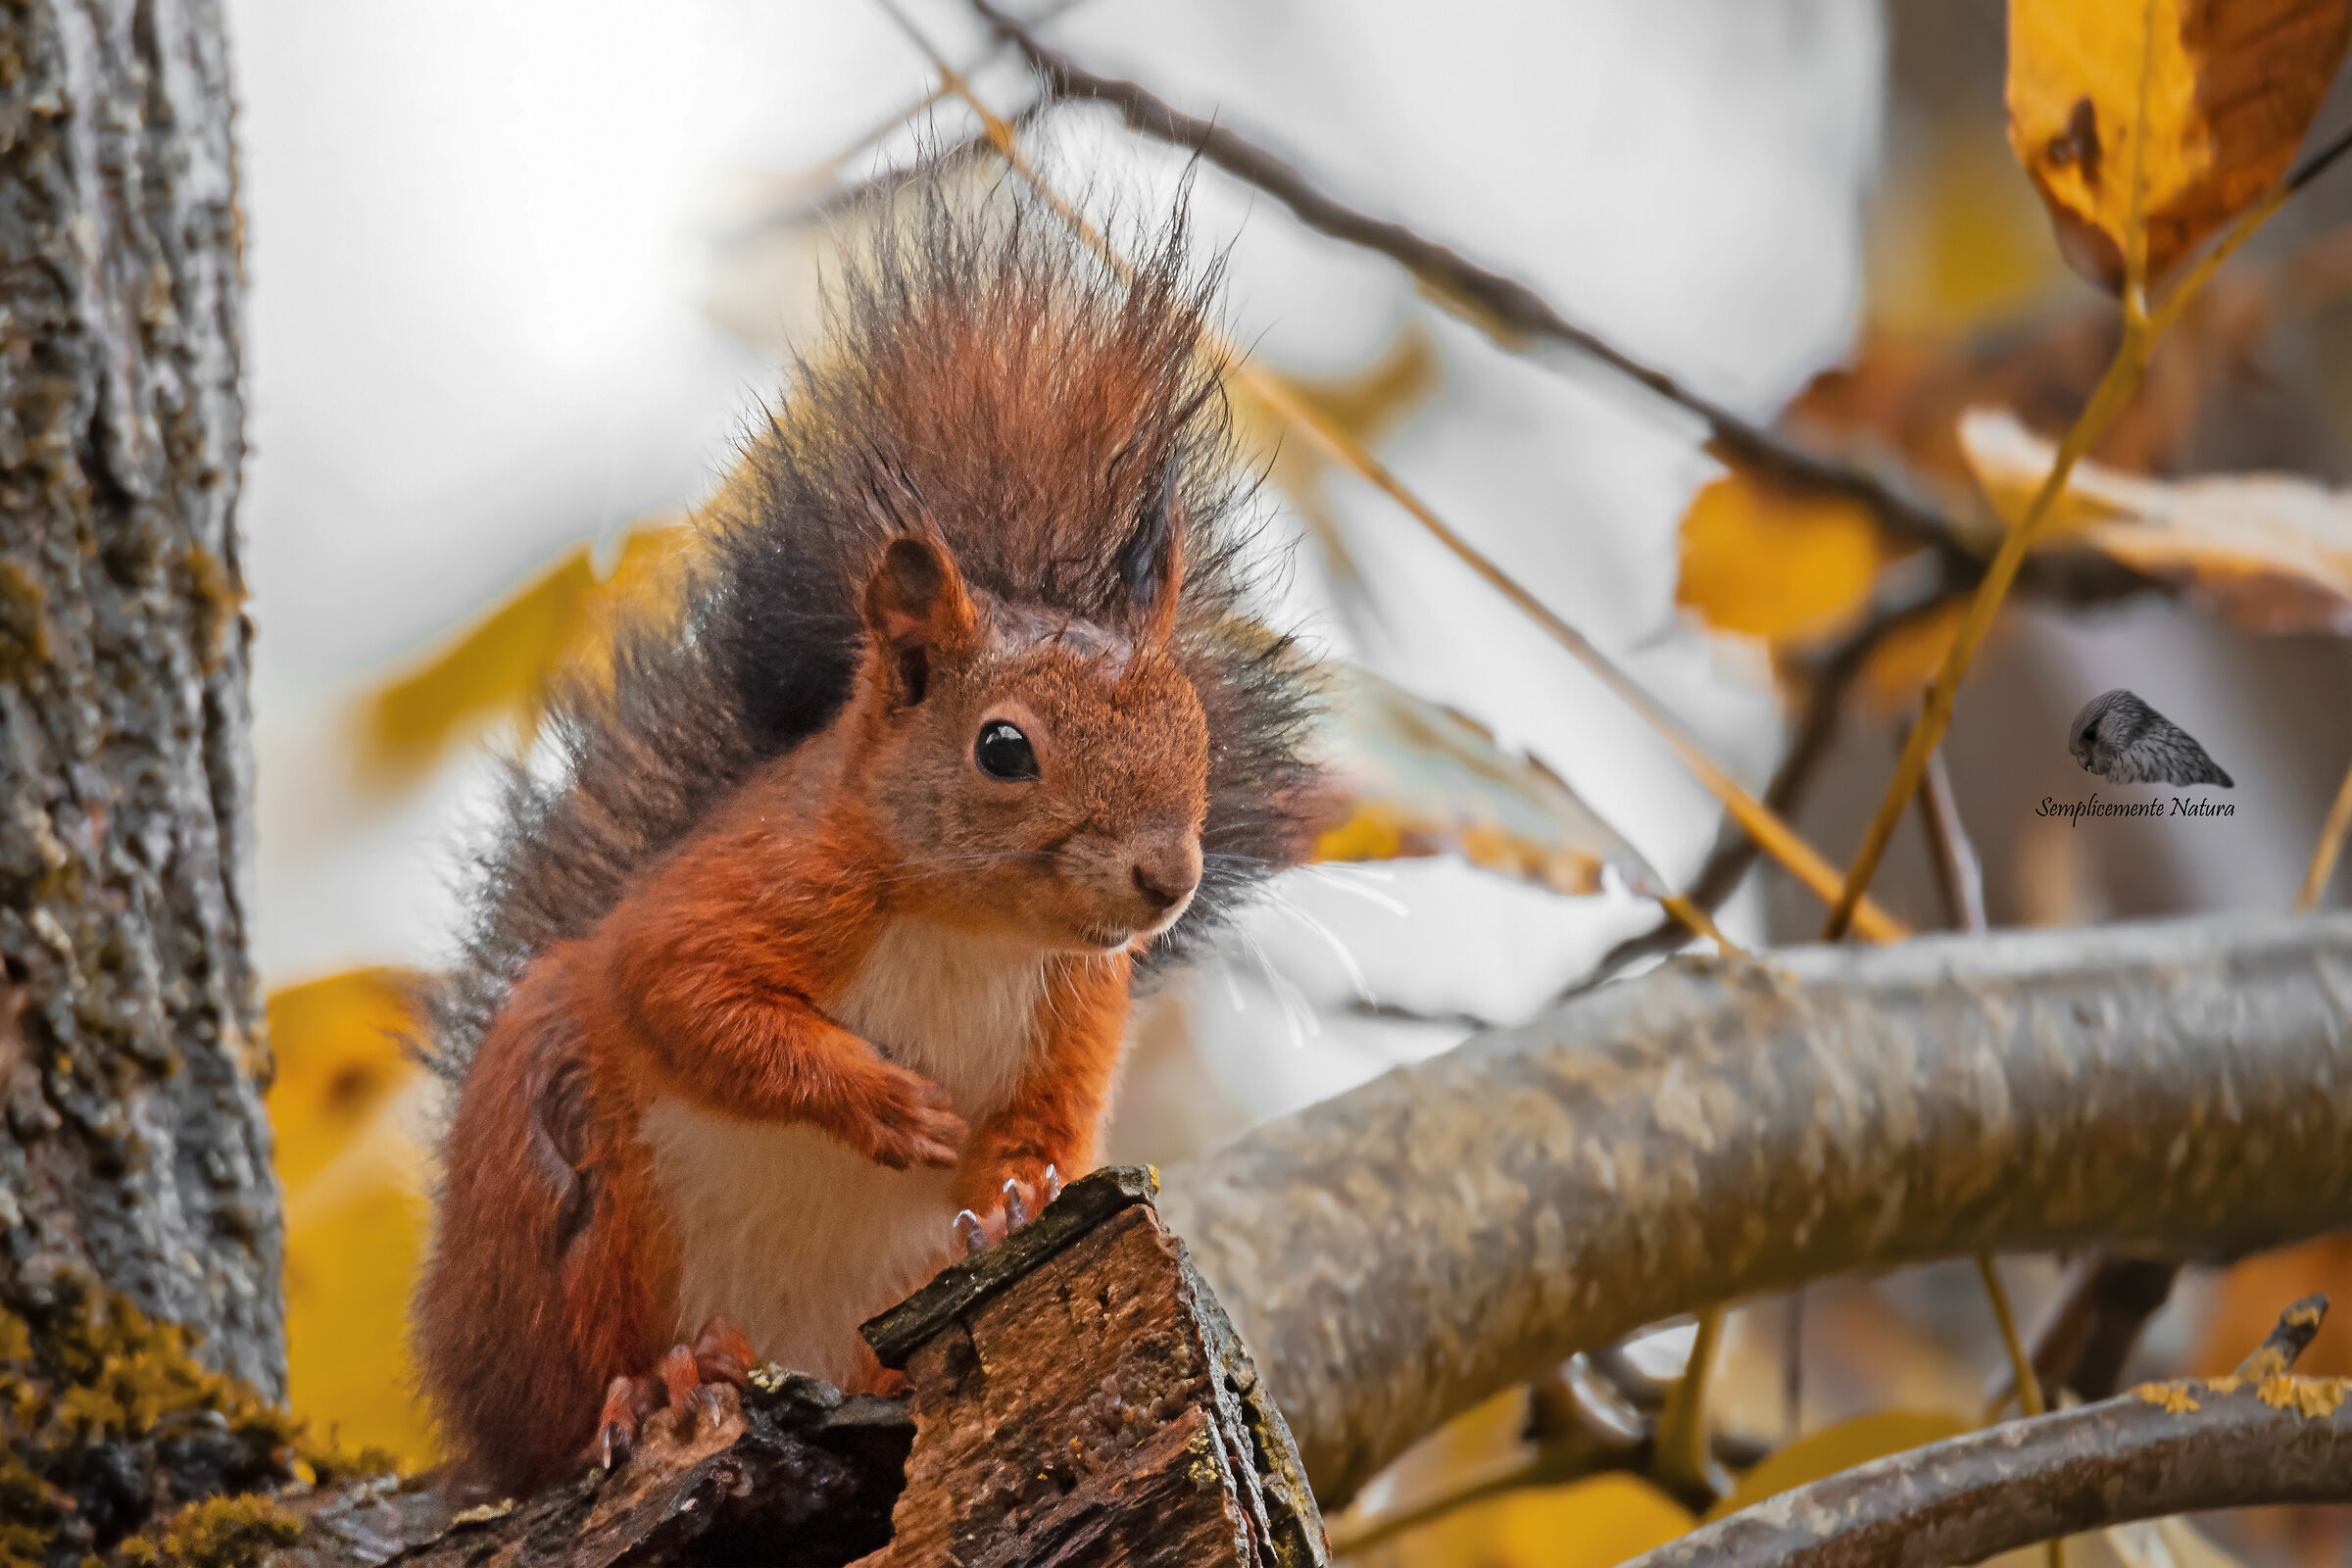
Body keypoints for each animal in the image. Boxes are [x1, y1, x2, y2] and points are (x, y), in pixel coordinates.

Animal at [408, 187, 1328, 1496]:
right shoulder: (748, 891)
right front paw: (892, 1105)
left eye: (1196, 729)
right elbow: (690, 996)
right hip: (558, 1199)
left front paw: (1015, 1201)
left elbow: (1051, 1119)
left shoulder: (1080, 1002)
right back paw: (662, 1383)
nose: (1168, 879)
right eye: (1004, 748)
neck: (972, 931)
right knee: (568, 1392)